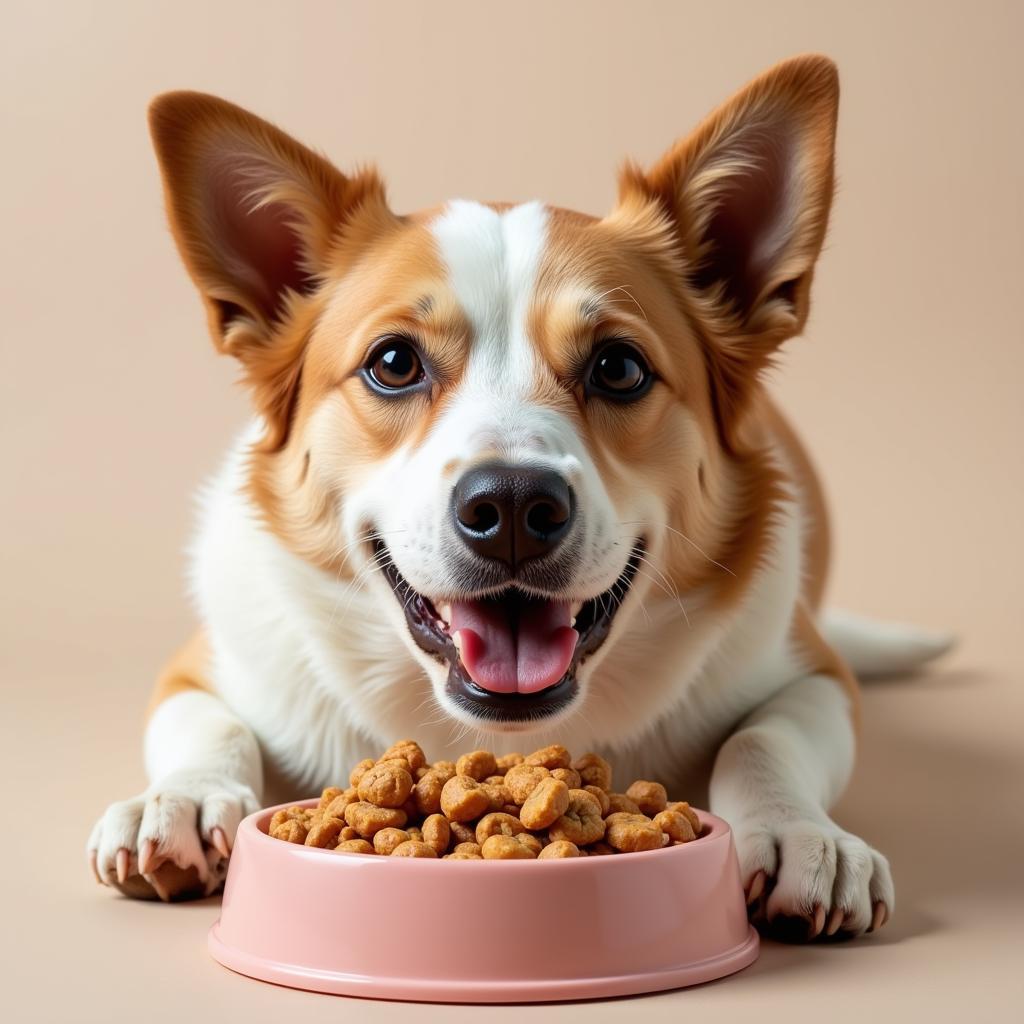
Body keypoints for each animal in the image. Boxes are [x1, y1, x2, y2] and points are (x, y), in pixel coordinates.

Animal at [88, 54, 950, 937]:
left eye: (619, 367)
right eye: (393, 363)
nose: (508, 509)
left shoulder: (810, 672)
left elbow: (765, 742)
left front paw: (801, 832)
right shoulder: (204, 667)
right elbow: (208, 725)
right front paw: (180, 800)